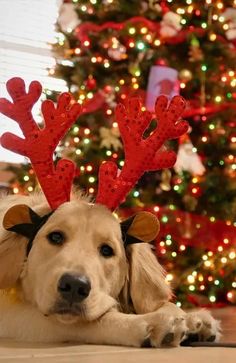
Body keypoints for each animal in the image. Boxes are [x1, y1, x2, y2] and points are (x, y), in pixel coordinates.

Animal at [0, 192, 220, 348]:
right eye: (55, 237)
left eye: (107, 250)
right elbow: (91, 321)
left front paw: (192, 320)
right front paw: (151, 322)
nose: (74, 286)